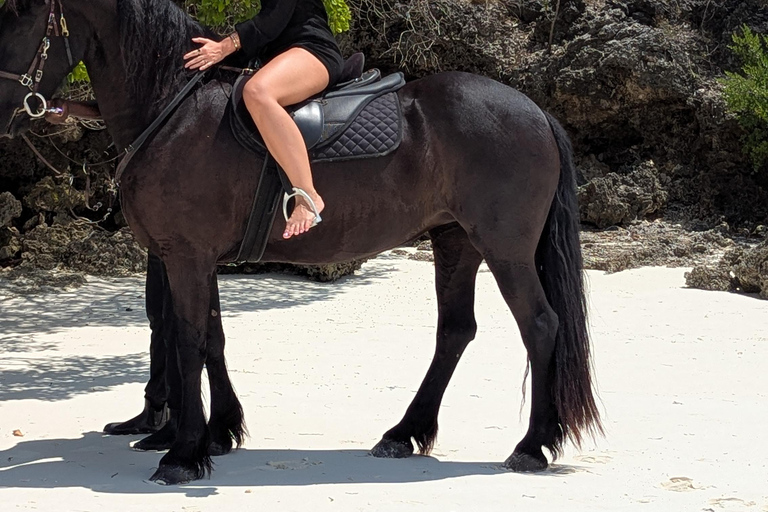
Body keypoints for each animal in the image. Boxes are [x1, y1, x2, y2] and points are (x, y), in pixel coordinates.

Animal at [0, 0, 602, 485]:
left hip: (505, 249)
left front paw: (184, 453)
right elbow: (210, 338)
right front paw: (218, 432)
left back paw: (531, 446)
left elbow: (187, 340)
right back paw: (404, 433)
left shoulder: (185, 255)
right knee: (455, 331)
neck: (176, 107)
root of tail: (534, 110)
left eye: (20, 15)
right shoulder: (193, 258)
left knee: (540, 325)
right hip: (456, 242)